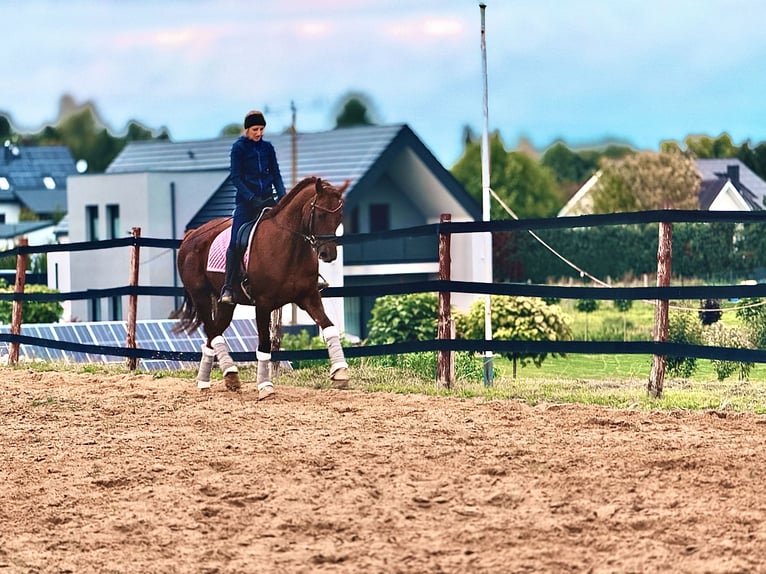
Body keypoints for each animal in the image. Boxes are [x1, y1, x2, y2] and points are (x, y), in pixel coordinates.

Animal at [172, 176, 350, 400]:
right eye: (319, 214)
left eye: (339, 216)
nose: (328, 254)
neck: (289, 245)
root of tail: (192, 234)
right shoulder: (263, 304)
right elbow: (264, 345)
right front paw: (265, 386)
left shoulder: (309, 297)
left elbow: (329, 327)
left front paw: (340, 372)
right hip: (201, 295)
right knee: (212, 330)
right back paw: (223, 375)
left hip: (226, 304)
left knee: (213, 334)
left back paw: (216, 379)